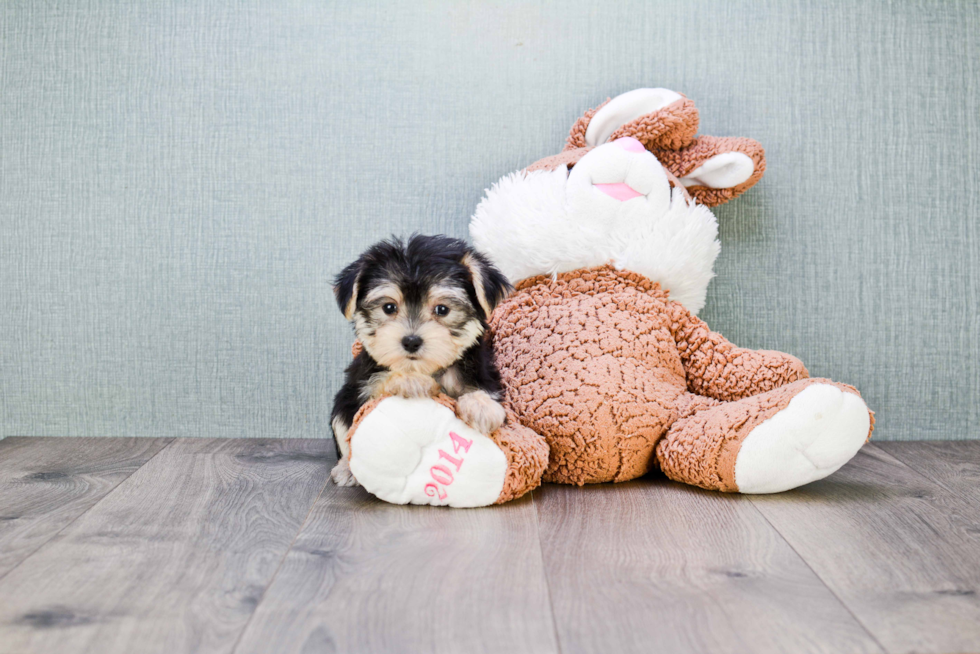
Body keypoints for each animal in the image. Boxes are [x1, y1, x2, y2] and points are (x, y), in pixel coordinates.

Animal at [330, 236, 512, 486]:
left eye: (442, 309)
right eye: (389, 307)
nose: (411, 341)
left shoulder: (484, 374)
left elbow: (483, 391)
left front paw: (481, 406)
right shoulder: (359, 385)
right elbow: (376, 386)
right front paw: (410, 380)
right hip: (342, 403)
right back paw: (347, 469)